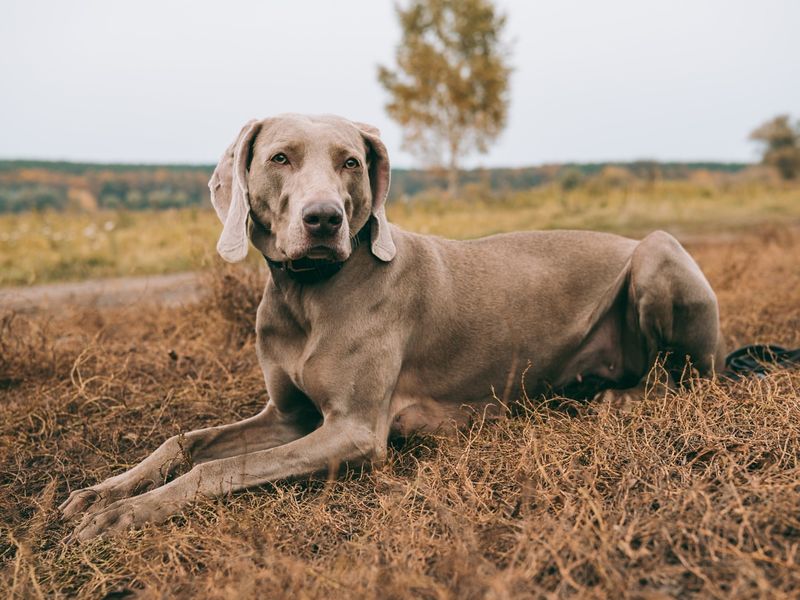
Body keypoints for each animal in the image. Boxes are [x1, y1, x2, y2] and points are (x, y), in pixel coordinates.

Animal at [62, 112, 724, 540]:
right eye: (280, 158)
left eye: (351, 162)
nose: (324, 218)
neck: (309, 295)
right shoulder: (289, 417)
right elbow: (184, 443)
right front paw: (105, 492)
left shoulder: (353, 431)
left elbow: (217, 468)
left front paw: (125, 515)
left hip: (658, 251)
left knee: (687, 378)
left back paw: (619, 396)